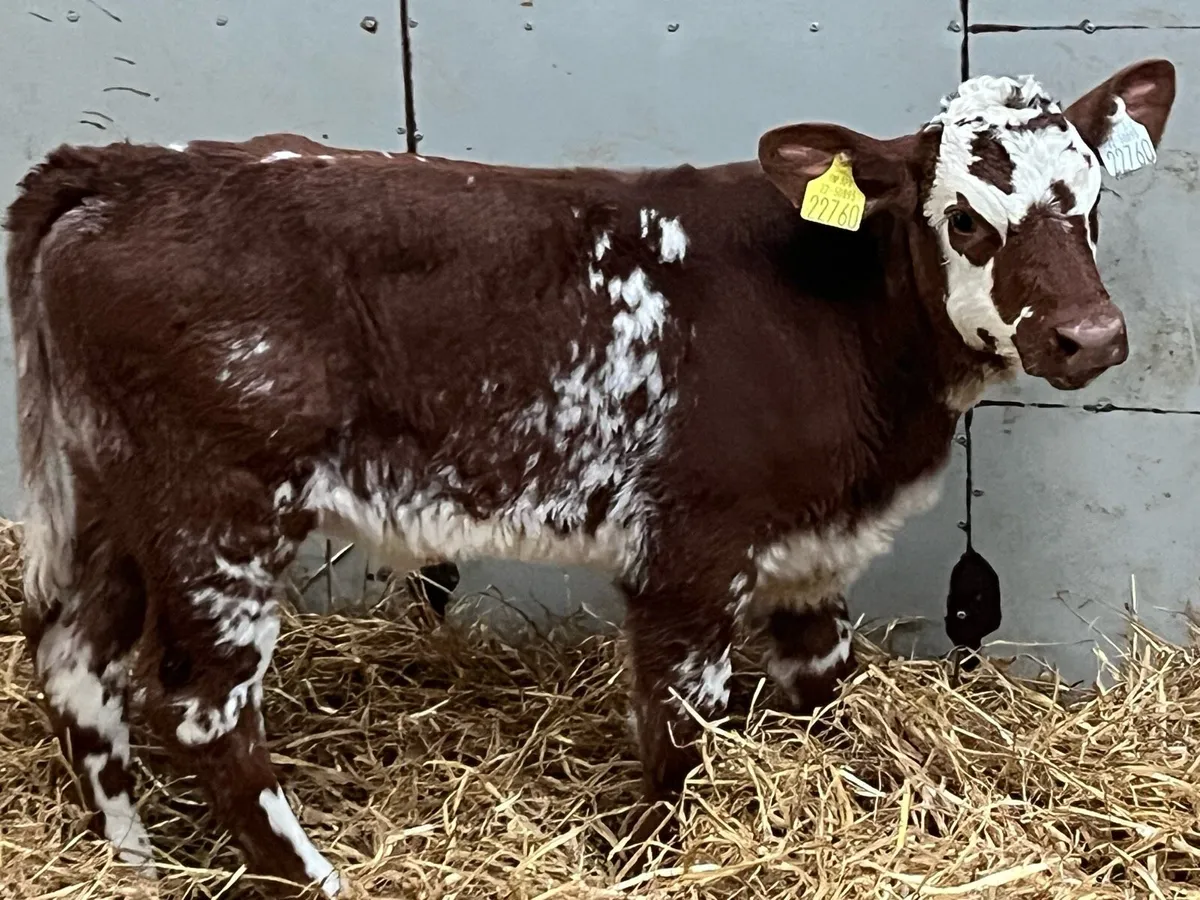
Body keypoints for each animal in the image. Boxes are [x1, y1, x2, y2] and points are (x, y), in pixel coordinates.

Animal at [5, 59, 1175, 896]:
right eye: (967, 218)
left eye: (1089, 205)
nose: (1091, 336)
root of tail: (124, 170)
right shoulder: (690, 551)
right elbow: (681, 726)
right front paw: (654, 861)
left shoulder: (810, 554)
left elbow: (822, 693)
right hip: (219, 515)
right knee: (204, 710)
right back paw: (314, 878)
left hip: (110, 495)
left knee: (73, 656)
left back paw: (132, 863)